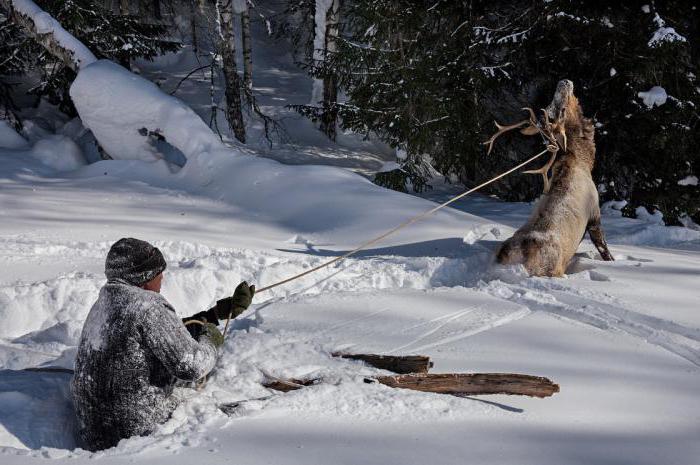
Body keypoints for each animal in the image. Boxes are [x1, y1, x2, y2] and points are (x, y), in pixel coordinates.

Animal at [482, 79, 612, 276]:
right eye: (562, 109)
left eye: (555, 106)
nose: (564, 81)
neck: (584, 161)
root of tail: (512, 256)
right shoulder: (594, 214)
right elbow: (605, 250)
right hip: (552, 268)